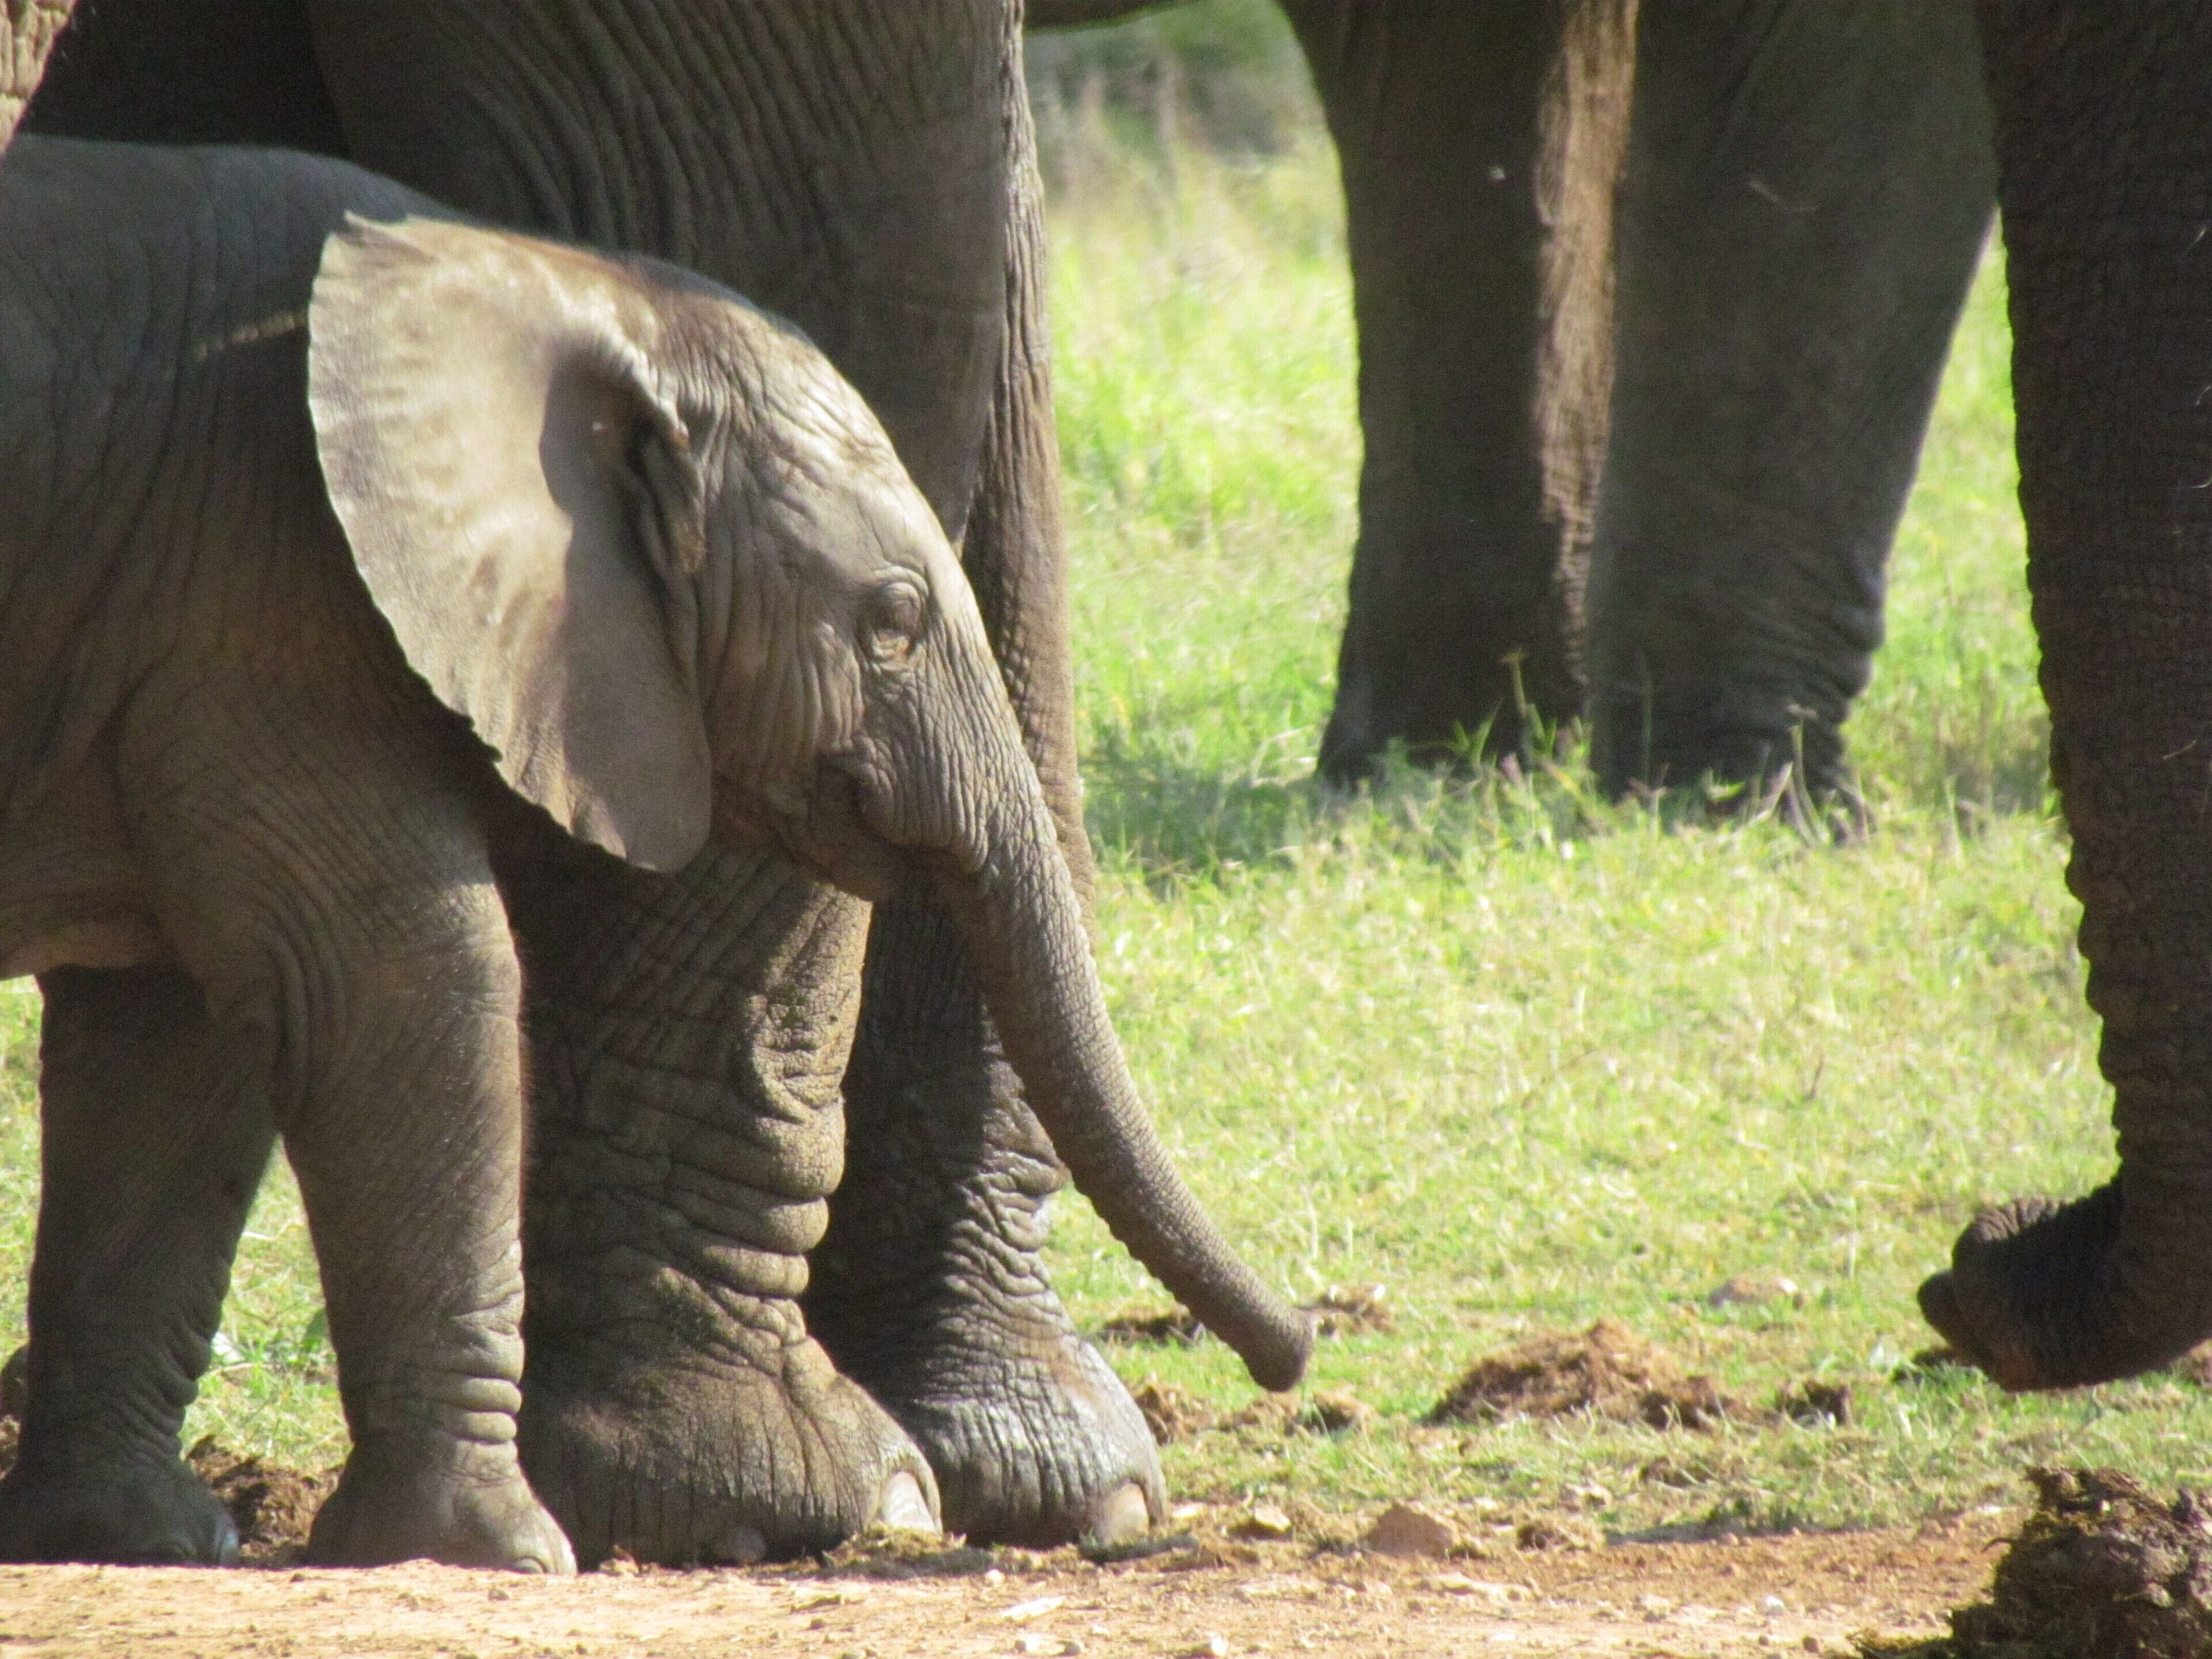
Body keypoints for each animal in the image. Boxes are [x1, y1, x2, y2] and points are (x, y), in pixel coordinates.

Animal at [0, 134, 1309, 1569]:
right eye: (893, 618)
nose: (1294, 1351)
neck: (547, 285)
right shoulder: (258, 593)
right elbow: (409, 982)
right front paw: (498, 1554)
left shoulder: (179, 618)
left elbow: (168, 1052)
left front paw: (134, 1538)